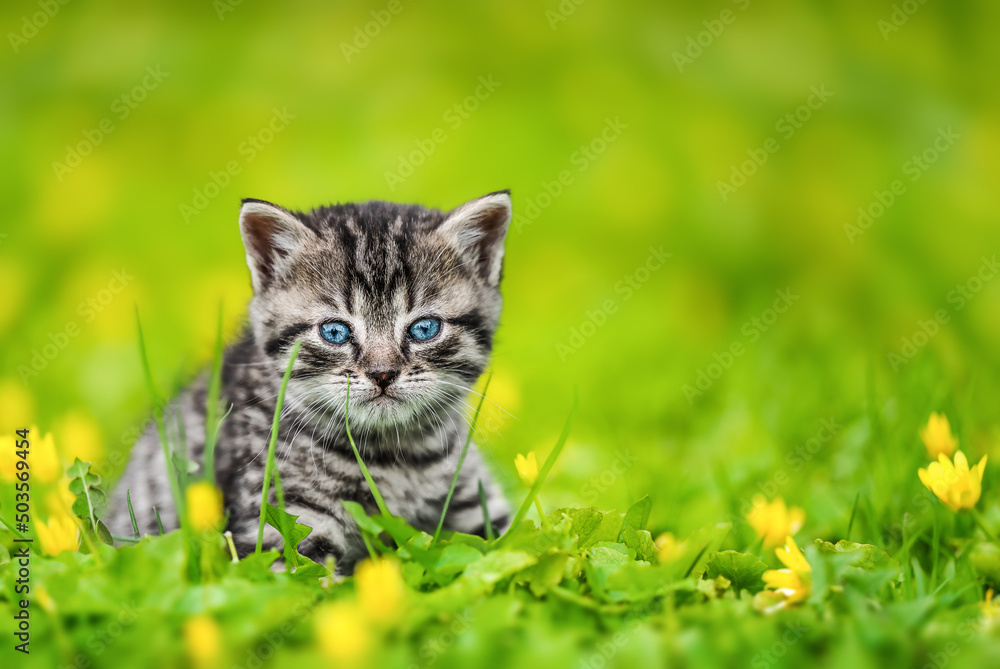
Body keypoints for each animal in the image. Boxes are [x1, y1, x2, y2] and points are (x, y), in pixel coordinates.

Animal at [108, 189, 512, 568]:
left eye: (424, 328)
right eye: (334, 332)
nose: (382, 373)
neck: (396, 456)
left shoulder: (476, 500)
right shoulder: (283, 523)